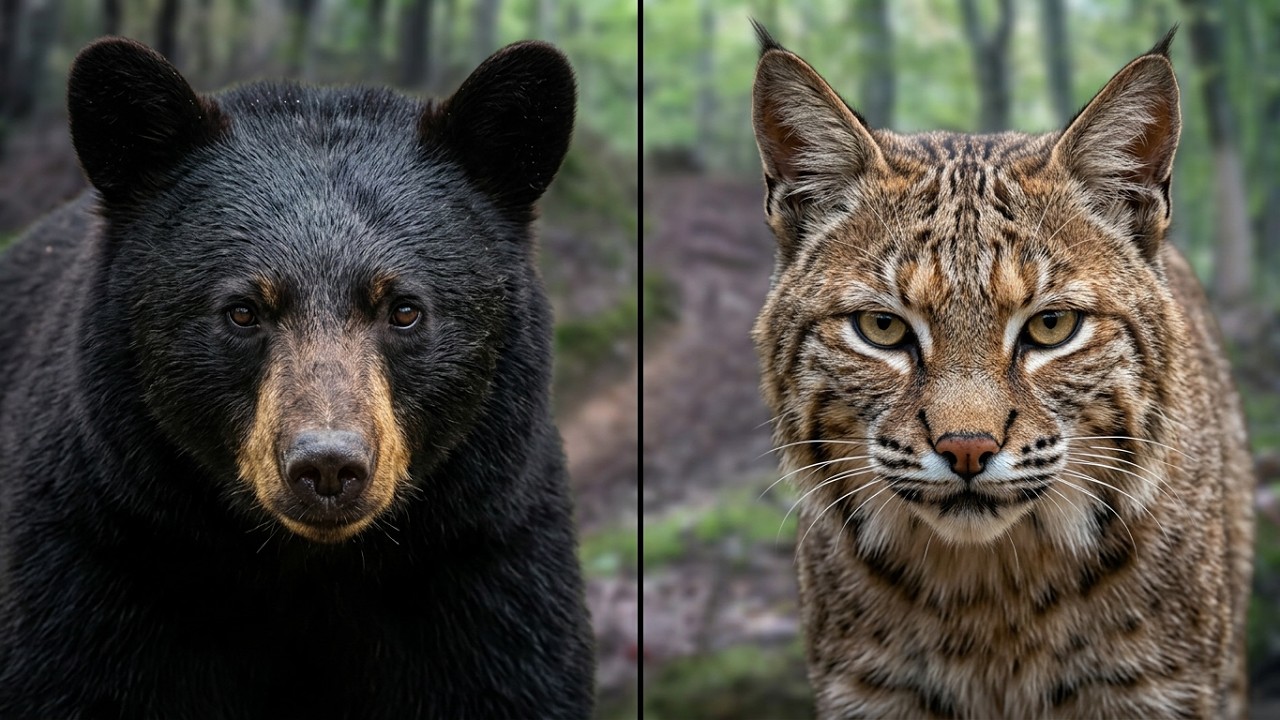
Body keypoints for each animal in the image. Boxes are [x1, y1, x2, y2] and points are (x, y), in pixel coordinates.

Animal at [0, 36, 594, 718]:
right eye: (242, 311)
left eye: (404, 309)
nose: (329, 466)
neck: (305, 569)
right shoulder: (98, 557)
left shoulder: (489, 564)